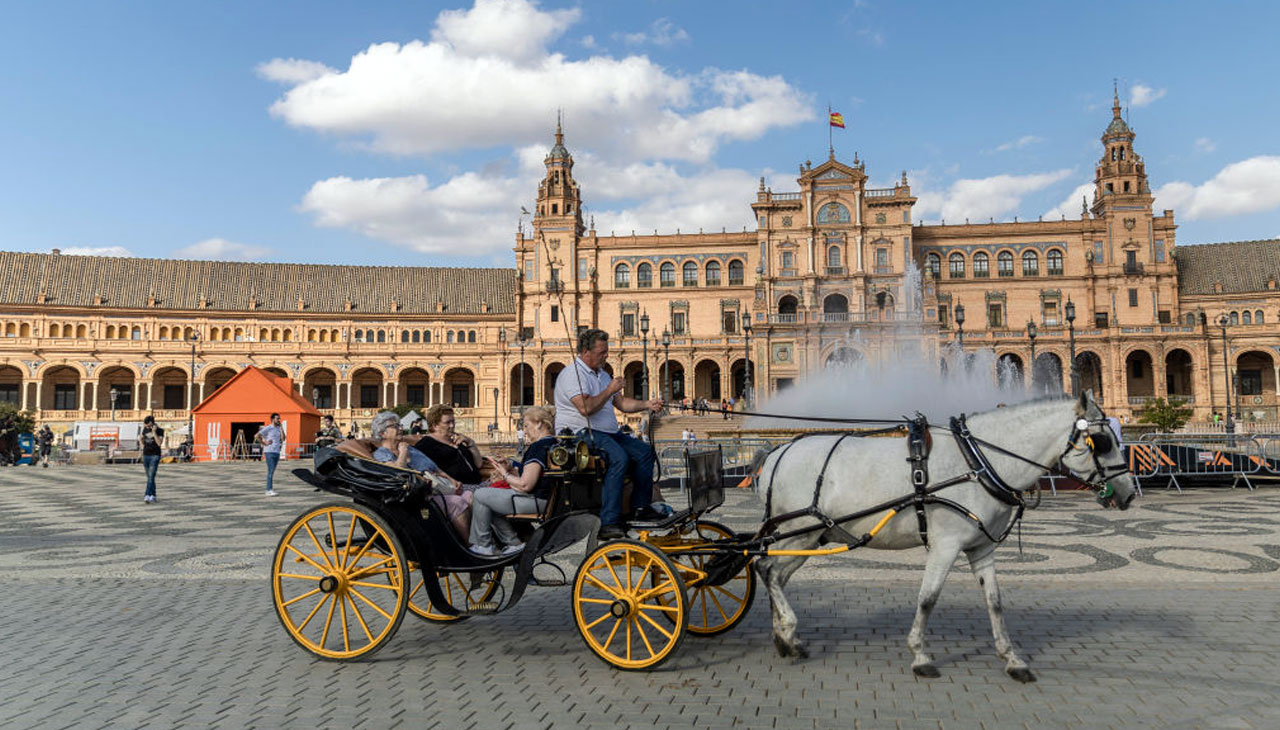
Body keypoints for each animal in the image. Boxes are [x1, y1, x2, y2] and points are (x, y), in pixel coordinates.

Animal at [752, 389, 1136, 681]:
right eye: (1102, 441)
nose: (1129, 493)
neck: (978, 462)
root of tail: (776, 451)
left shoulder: (981, 548)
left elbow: (995, 602)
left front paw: (1013, 659)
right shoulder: (946, 545)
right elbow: (928, 599)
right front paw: (921, 657)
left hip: (811, 538)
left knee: (774, 575)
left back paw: (785, 638)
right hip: (798, 534)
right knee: (765, 570)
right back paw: (787, 632)